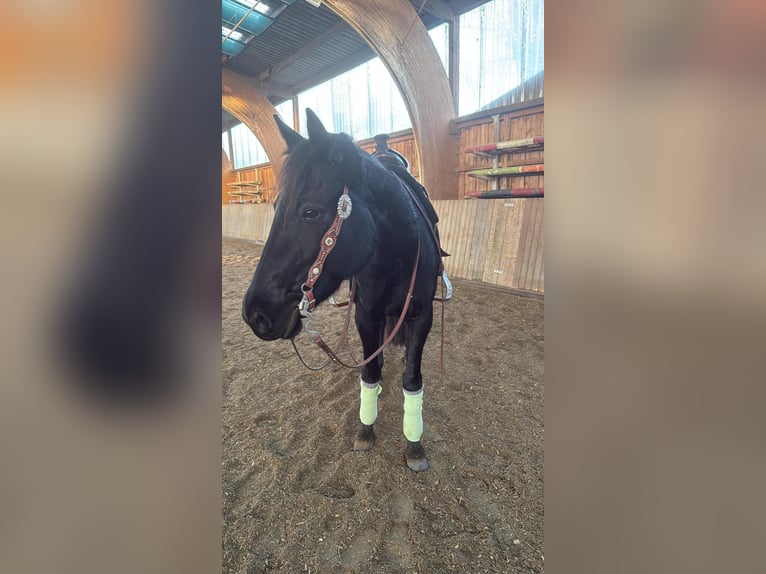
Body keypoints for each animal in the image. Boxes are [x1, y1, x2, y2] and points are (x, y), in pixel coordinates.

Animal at [242, 109, 445, 472]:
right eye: (276, 206)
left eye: (310, 211)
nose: (255, 313)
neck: (398, 250)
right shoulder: (366, 313)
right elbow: (370, 370)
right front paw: (366, 428)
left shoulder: (423, 315)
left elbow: (412, 378)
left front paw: (414, 444)